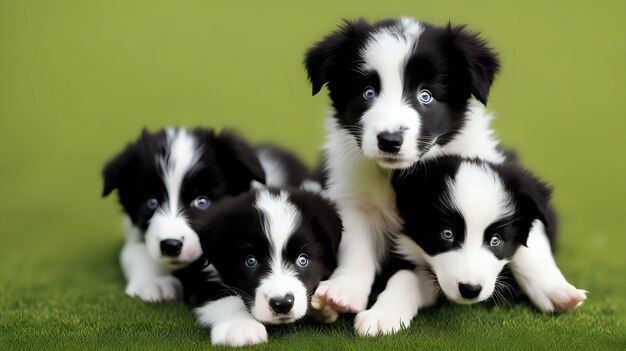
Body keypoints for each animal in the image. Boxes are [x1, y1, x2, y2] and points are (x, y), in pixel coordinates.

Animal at [304, 16, 504, 330]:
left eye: (426, 96)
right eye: (368, 93)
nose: (389, 140)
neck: (399, 177)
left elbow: (408, 278)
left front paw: (382, 315)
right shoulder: (356, 200)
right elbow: (357, 248)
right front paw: (343, 291)